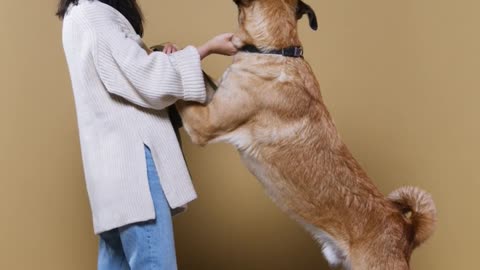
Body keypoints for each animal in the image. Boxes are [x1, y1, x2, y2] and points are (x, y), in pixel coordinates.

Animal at [175, 1, 436, 268]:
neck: (276, 50)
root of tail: (406, 229)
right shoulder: (213, 102)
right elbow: (199, 79)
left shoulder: (204, 123)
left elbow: (182, 93)